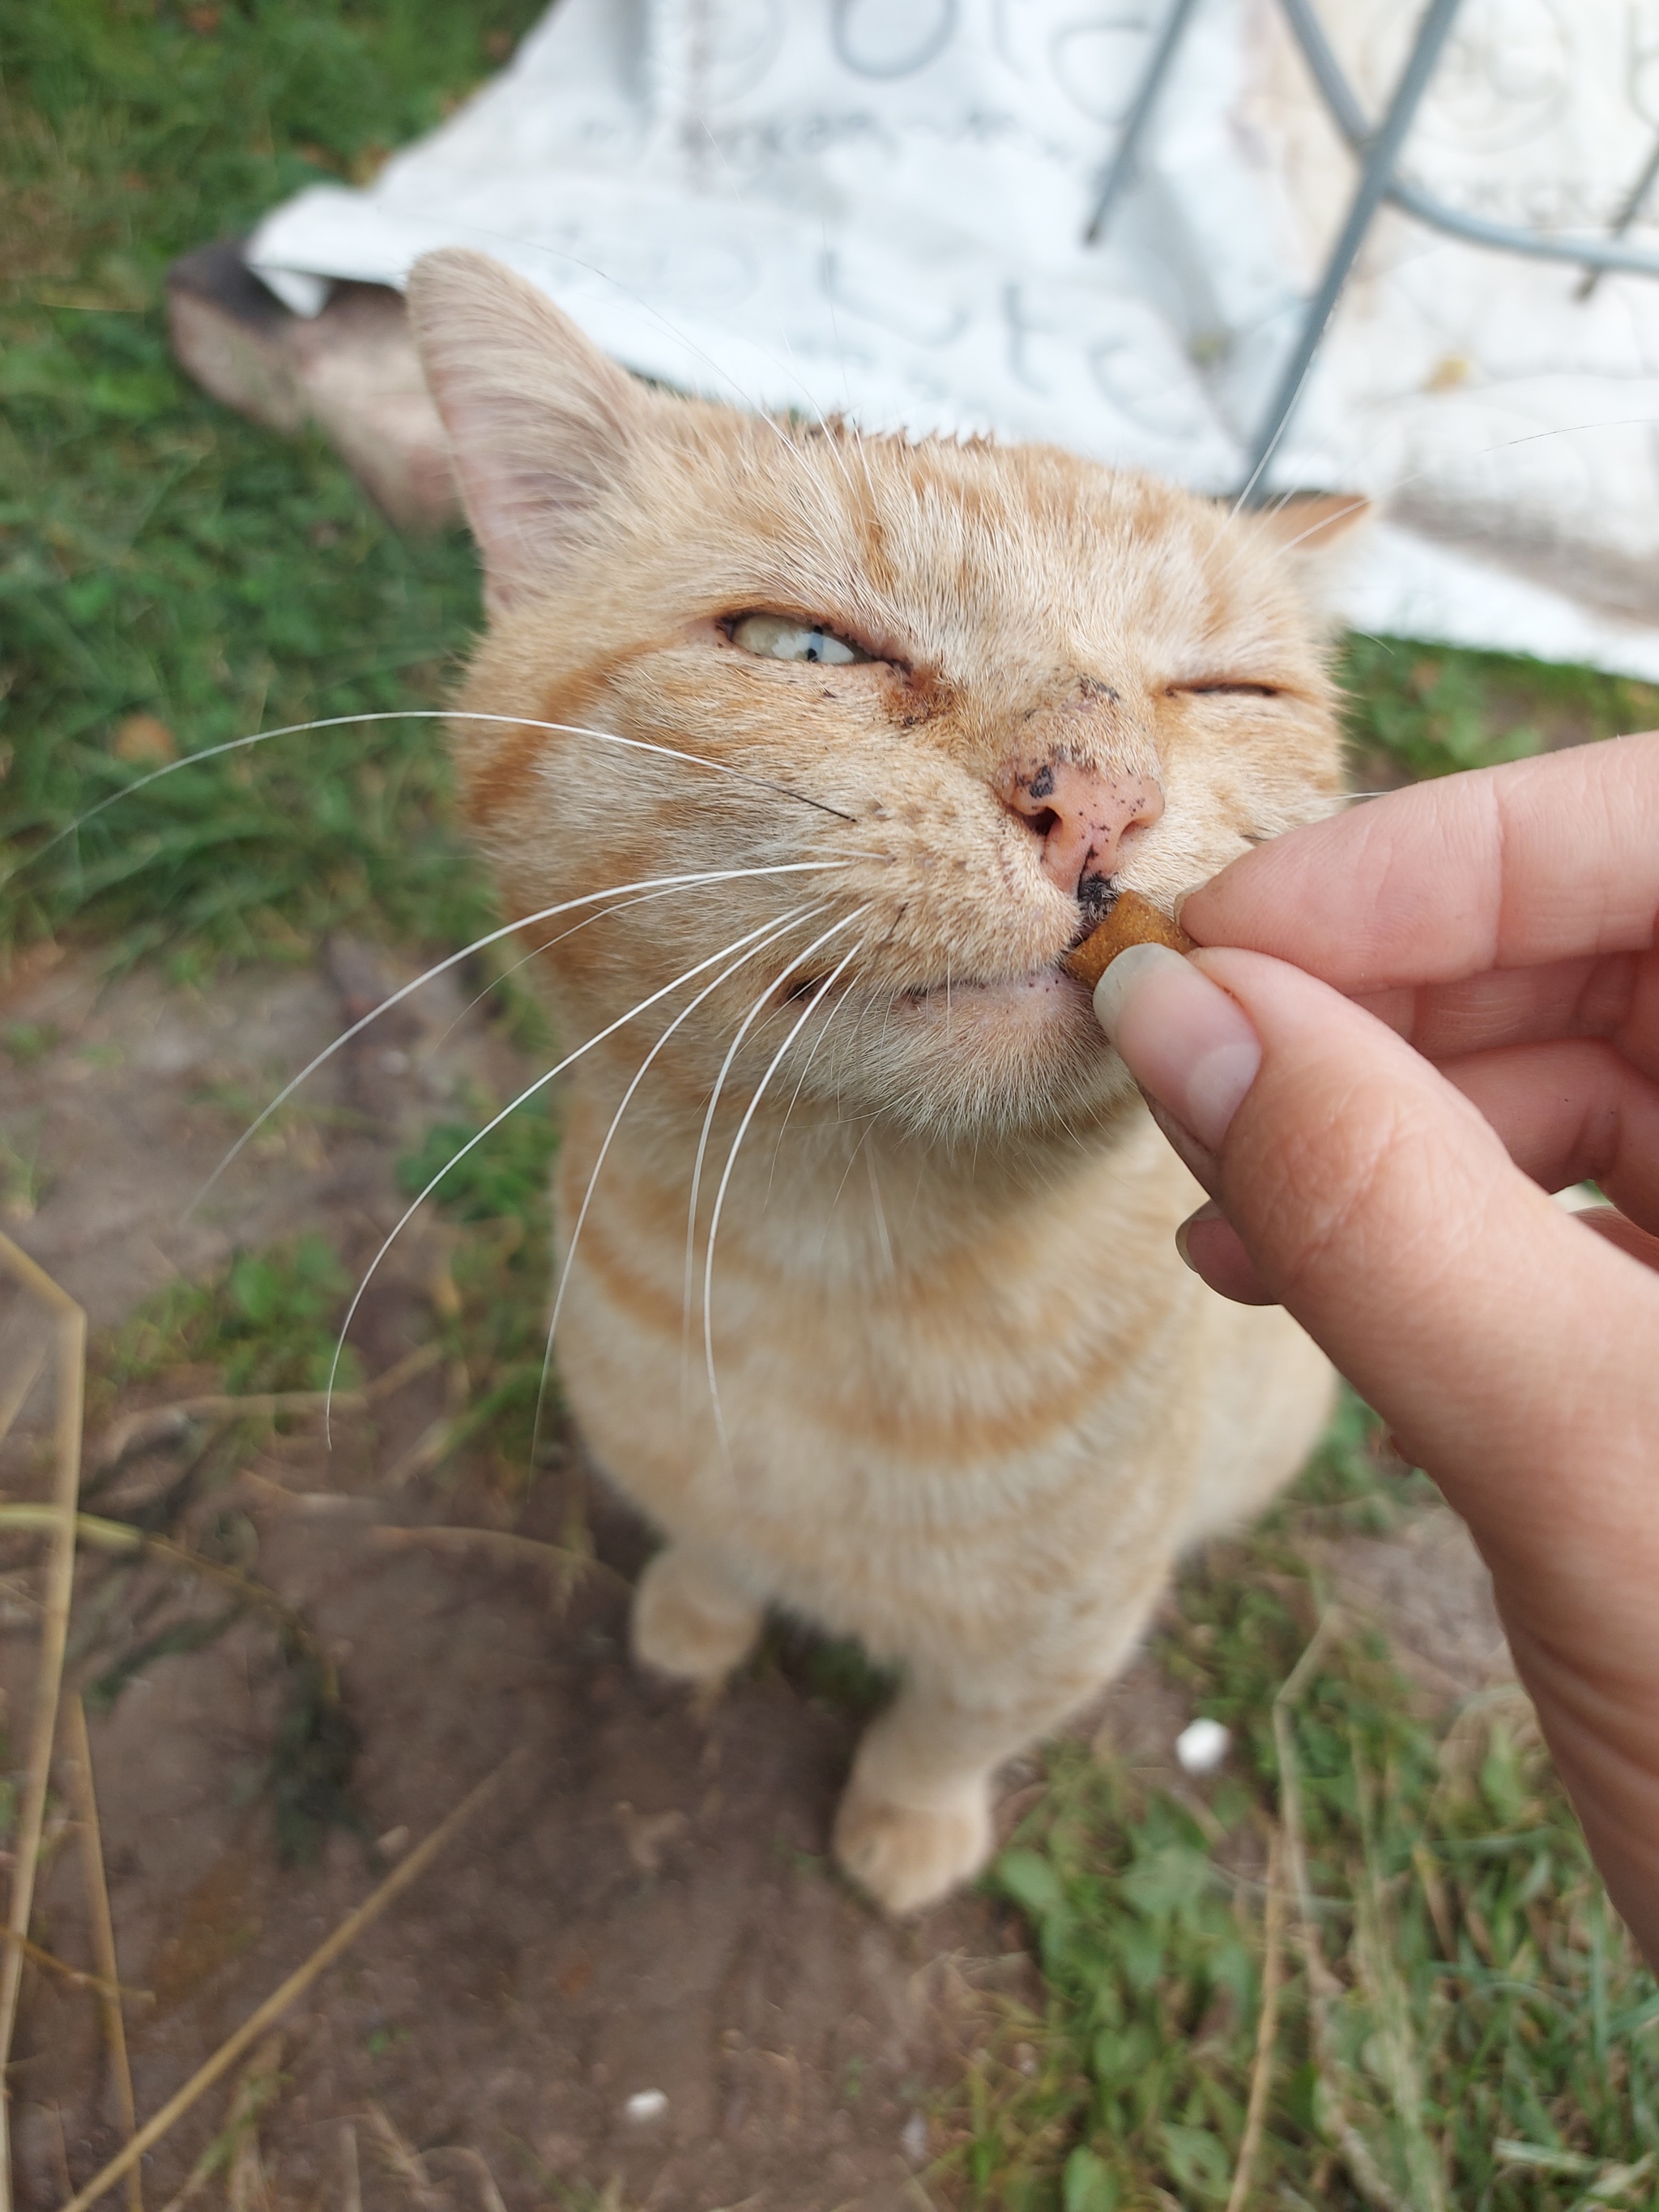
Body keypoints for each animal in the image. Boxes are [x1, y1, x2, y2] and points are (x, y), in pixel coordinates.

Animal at [409, 246, 1345, 1920]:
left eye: (1226, 690)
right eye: (802, 648)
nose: (1098, 798)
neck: (834, 1284)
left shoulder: (1052, 1639)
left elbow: (941, 1733)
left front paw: (902, 1833)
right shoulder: (677, 1468)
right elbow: (713, 1553)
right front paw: (694, 1622)